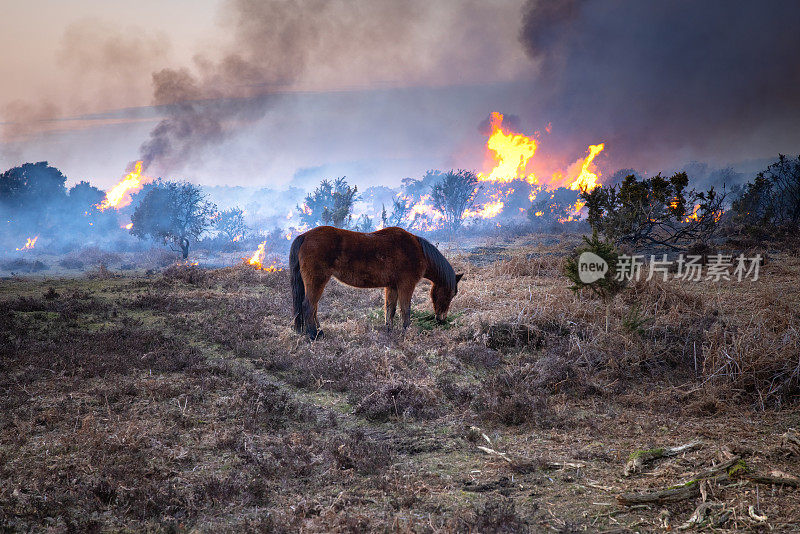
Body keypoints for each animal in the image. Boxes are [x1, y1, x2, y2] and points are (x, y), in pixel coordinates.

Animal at [290, 226, 462, 340]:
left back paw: (319, 332)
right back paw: (313, 335)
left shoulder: (392, 286)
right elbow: (405, 309)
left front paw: (389, 330)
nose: (441, 319)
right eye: (451, 294)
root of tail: (304, 236)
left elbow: (390, 309)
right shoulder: (406, 285)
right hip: (317, 281)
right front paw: (406, 331)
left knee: (313, 308)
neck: (417, 250)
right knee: (309, 306)